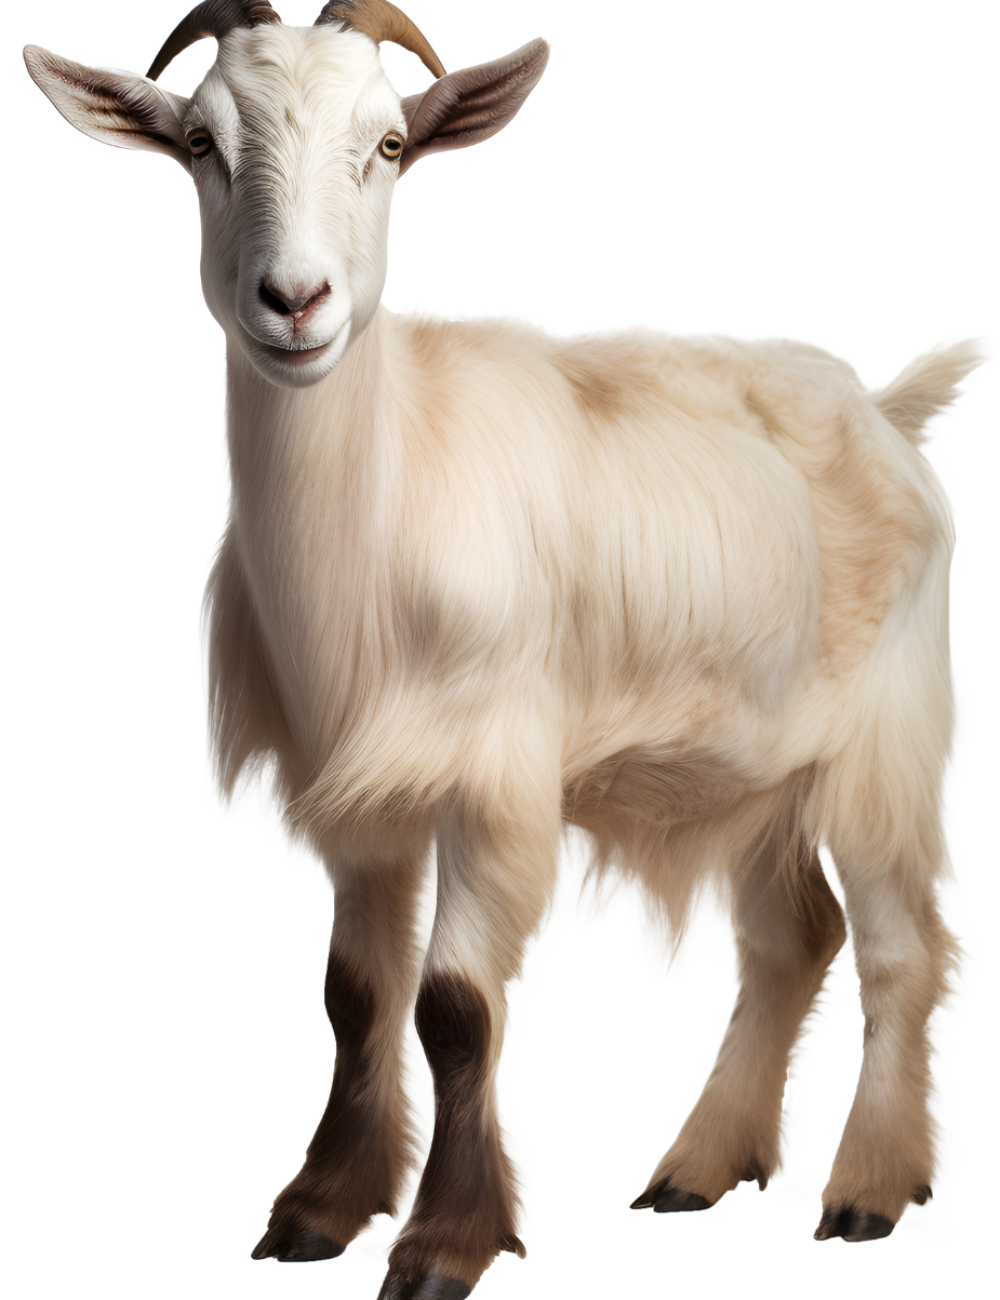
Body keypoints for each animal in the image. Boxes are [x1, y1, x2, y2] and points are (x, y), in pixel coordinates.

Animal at [23, 2, 991, 1291]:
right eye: (198, 144)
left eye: (388, 146)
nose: (295, 300)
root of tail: (885, 407)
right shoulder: (364, 796)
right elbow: (356, 993)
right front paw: (319, 1212)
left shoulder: (493, 773)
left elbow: (455, 1005)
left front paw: (447, 1241)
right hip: (752, 762)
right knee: (790, 939)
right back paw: (692, 1173)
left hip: (888, 733)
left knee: (905, 946)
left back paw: (871, 1193)